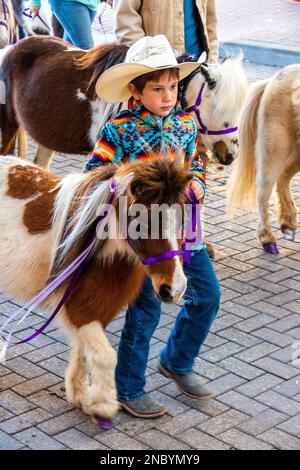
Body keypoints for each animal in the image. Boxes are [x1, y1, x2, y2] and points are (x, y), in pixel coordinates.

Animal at [0, 157, 191, 418]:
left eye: (182, 219)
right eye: (142, 224)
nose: (174, 289)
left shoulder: (97, 310)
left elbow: (84, 352)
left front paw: (81, 396)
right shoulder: (79, 310)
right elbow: (106, 356)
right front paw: (103, 405)